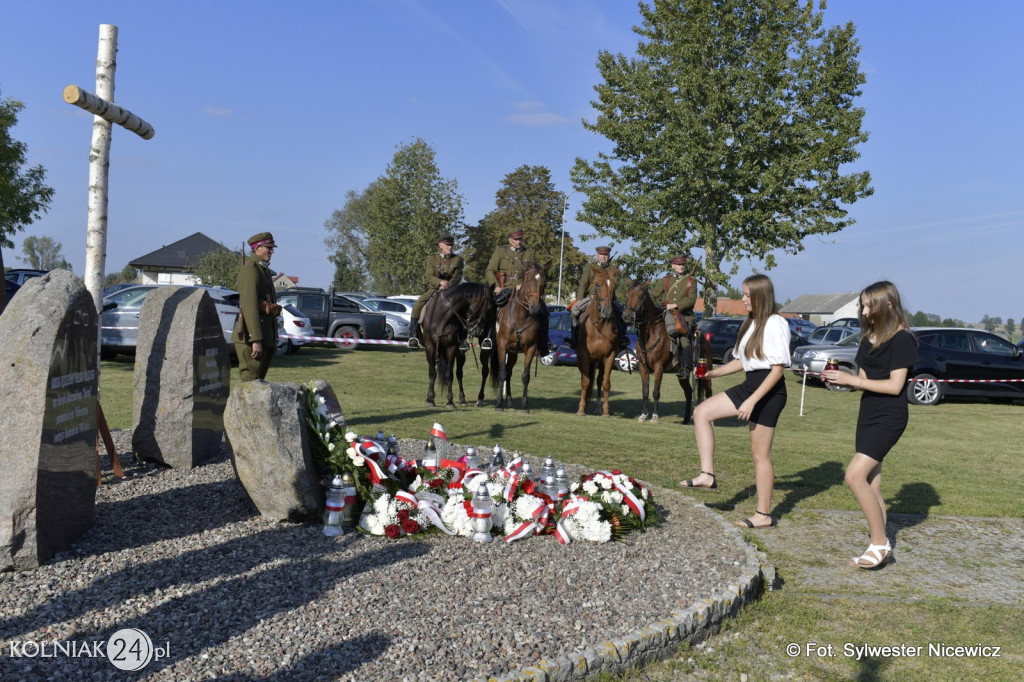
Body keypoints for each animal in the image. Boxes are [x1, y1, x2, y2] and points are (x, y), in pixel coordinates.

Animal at [417, 280, 493, 409]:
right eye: (487, 308)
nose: (479, 331)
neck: (442, 315)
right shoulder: (430, 347)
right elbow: (432, 372)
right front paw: (430, 399)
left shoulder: (451, 348)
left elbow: (450, 374)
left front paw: (450, 401)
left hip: (459, 354)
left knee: (459, 374)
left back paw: (462, 399)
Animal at [485, 260, 548, 409]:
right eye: (528, 279)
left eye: (544, 282)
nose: (535, 308)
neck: (520, 317)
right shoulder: (502, 346)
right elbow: (501, 373)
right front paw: (498, 404)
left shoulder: (530, 348)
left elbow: (525, 375)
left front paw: (524, 405)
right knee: (487, 372)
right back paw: (480, 399)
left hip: (513, 353)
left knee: (509, 372)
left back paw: (509, 400)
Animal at [573, 264, 618, 413]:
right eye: (598, 285)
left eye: (615, 286)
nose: (607, 311)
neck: (599, 327)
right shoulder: (584, 356)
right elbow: (585, 382)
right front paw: (581, 409)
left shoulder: (610, 356)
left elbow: (605, 383)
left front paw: (606, 411)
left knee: (598, 380)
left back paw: (598, 408)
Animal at [618, 278, 716, 421]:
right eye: (627, 295)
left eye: (640, 296)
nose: (627, 316)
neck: (650, 335)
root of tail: (705, 341)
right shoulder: (642, 367)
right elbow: (645, 392)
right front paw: (643, 415)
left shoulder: (659, 368)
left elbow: (656, 392)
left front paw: (654, 416)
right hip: (683, 376)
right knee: (689, 392)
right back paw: (686, 420)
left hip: (706, 373)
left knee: (709, 393)